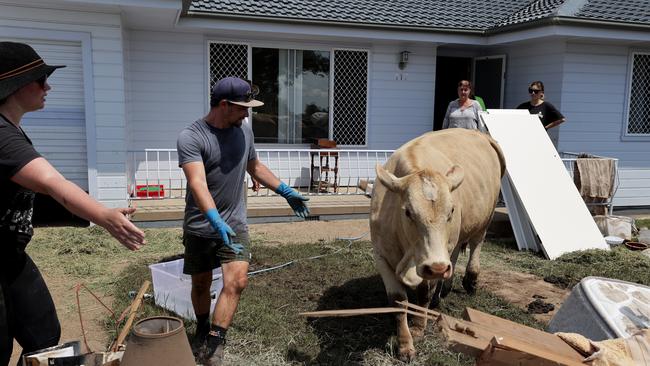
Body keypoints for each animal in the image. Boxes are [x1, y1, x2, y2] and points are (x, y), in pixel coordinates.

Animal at [370, 128, 502, 360]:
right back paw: (445, 287)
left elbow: (424, 293)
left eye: (451, 210)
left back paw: (470, 279)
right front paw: (405, 344)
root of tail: (479, 134)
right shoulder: (381, 255)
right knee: (455, 252)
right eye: (408, 212)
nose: (438, 268)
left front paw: (418, 327)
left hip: (486, 217)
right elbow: (398, 301)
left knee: (476, 244)